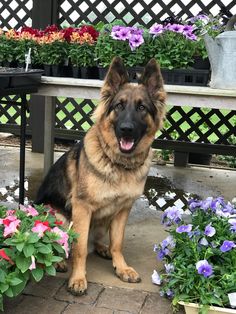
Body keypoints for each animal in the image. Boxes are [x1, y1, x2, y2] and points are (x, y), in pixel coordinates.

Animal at [34, 57, 166, 296]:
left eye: (142, 107)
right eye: (119, 106)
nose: (126, 129)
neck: (119, 164)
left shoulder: (123, 209)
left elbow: (118, 243)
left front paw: (121, 267)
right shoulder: (82, 208)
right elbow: (79, 248)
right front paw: (78, 279)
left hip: (105, 220)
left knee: (98, 242)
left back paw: (103, 249)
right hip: (57, 214)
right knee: (58, 245)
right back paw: (60, 262)